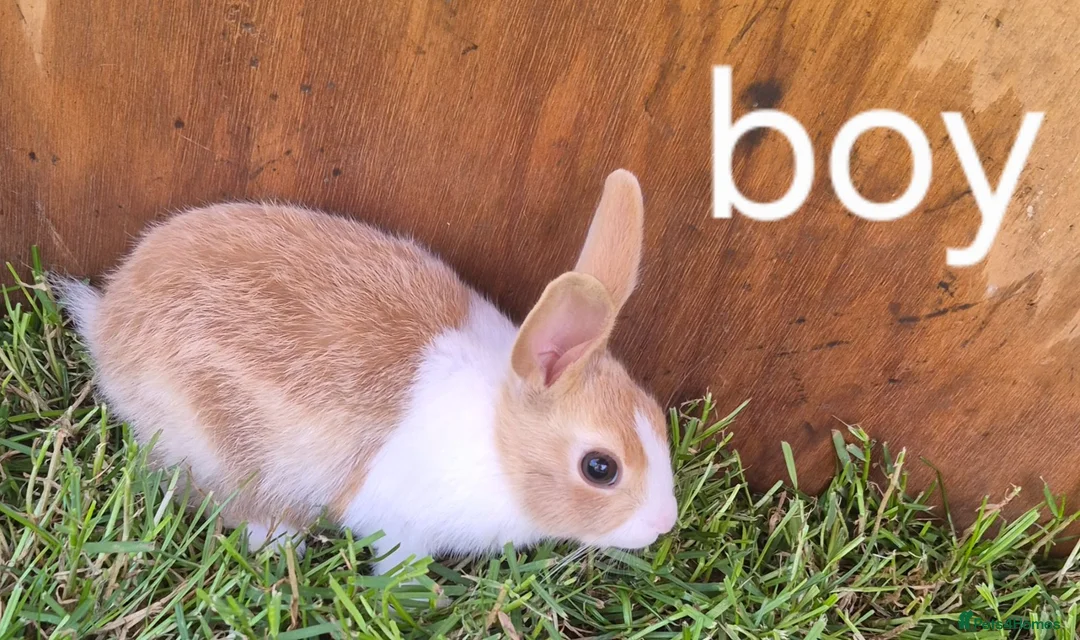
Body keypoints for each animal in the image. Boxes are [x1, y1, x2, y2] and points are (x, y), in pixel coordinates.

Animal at [51, 169, 678, 576]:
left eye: (654, 412)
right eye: (600, 468)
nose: (663, 524)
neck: (498, 436)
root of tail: (109, 320)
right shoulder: (401, 522)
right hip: (216, 443)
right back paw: (281, 545)